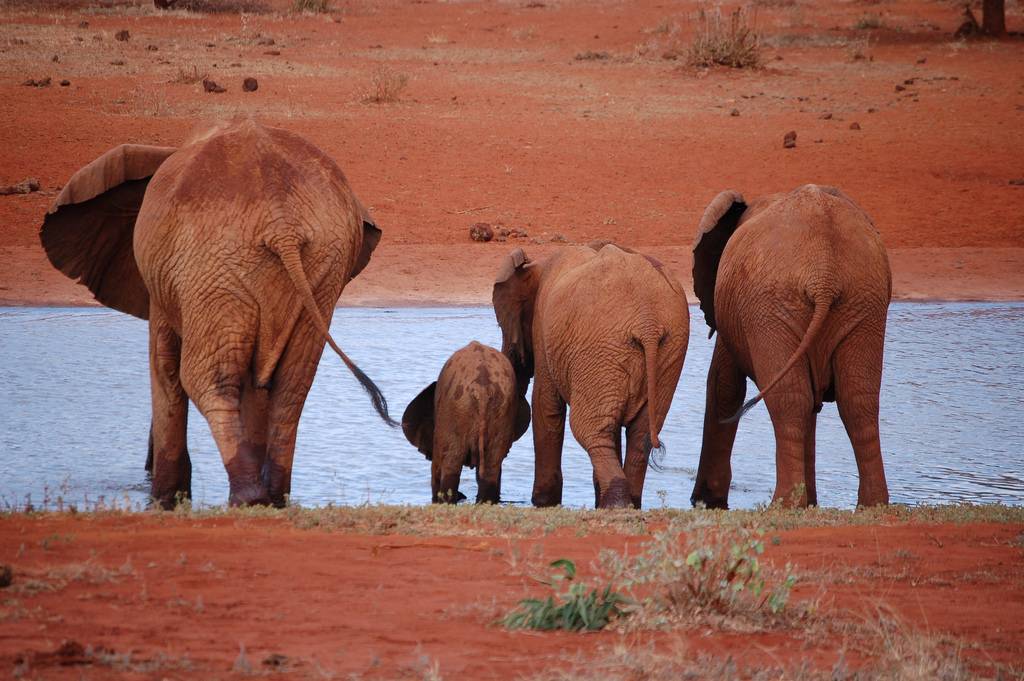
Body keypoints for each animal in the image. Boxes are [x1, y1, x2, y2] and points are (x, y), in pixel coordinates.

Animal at [40, 118, 395, 509]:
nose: (145, 467)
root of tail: (281, 222)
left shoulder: (166, 285)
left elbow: (165, 367)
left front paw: (163, 501)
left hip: (214, 267)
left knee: (206, 378)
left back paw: (247, 497)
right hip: (320, 269)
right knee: (291, 385)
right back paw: (273, 498)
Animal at [401, 341, 531, 504]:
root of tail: (482, 389)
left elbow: (436, 466)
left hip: (456, 409)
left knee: (451, 464)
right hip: (502, 409)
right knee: (491, 466)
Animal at [492, 242, 689, 509]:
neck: (538, 266)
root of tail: (647, 323)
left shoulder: (543, 331)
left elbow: (546, 407)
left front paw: (543, 502)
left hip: (603, 347)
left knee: (589, 428)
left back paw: (616, 503)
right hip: (666, 350)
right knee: (640, 433)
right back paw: (627, 503)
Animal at [689, 184, 891, 509]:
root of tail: (825, 273)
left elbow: (724, 385)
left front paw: (707, 501)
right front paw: (810, 504)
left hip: (773, 306)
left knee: (790, 401)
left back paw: (783, 504)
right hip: (862, 302)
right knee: (857, 399)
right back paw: (871, 505)